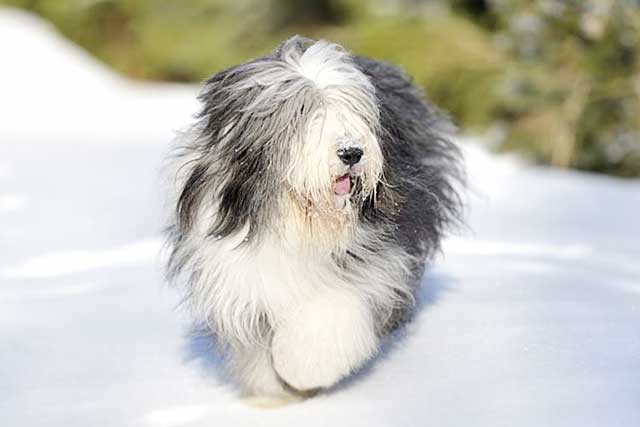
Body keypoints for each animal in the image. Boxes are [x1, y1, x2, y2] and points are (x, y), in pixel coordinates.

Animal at [168, 36, 462, 402]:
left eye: (352, 111)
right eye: (302, 112)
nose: (352, 152)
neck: (299, 222)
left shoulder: (373, 260)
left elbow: (328, 314)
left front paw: (302, 370)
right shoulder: (239, 272)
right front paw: (272, 391)